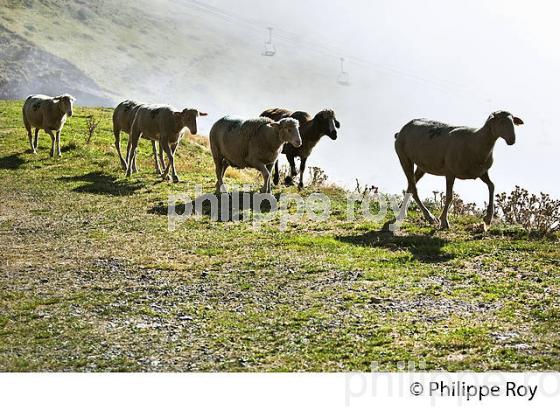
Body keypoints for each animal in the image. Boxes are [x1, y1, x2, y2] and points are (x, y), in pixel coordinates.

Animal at [396, 110, 524, 229]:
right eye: (500, 121)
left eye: (513, 121)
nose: (512, 140)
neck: (476, 141)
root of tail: (403, 129)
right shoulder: (450, 172)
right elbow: (449, 196)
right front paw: (444, 221)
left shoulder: (482, 172)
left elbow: (491, 186)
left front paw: (488, 219)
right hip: (404, 157)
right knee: (414, 188)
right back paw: (429, 217)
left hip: (422, 165)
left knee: (410, 185)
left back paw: (402, 211)